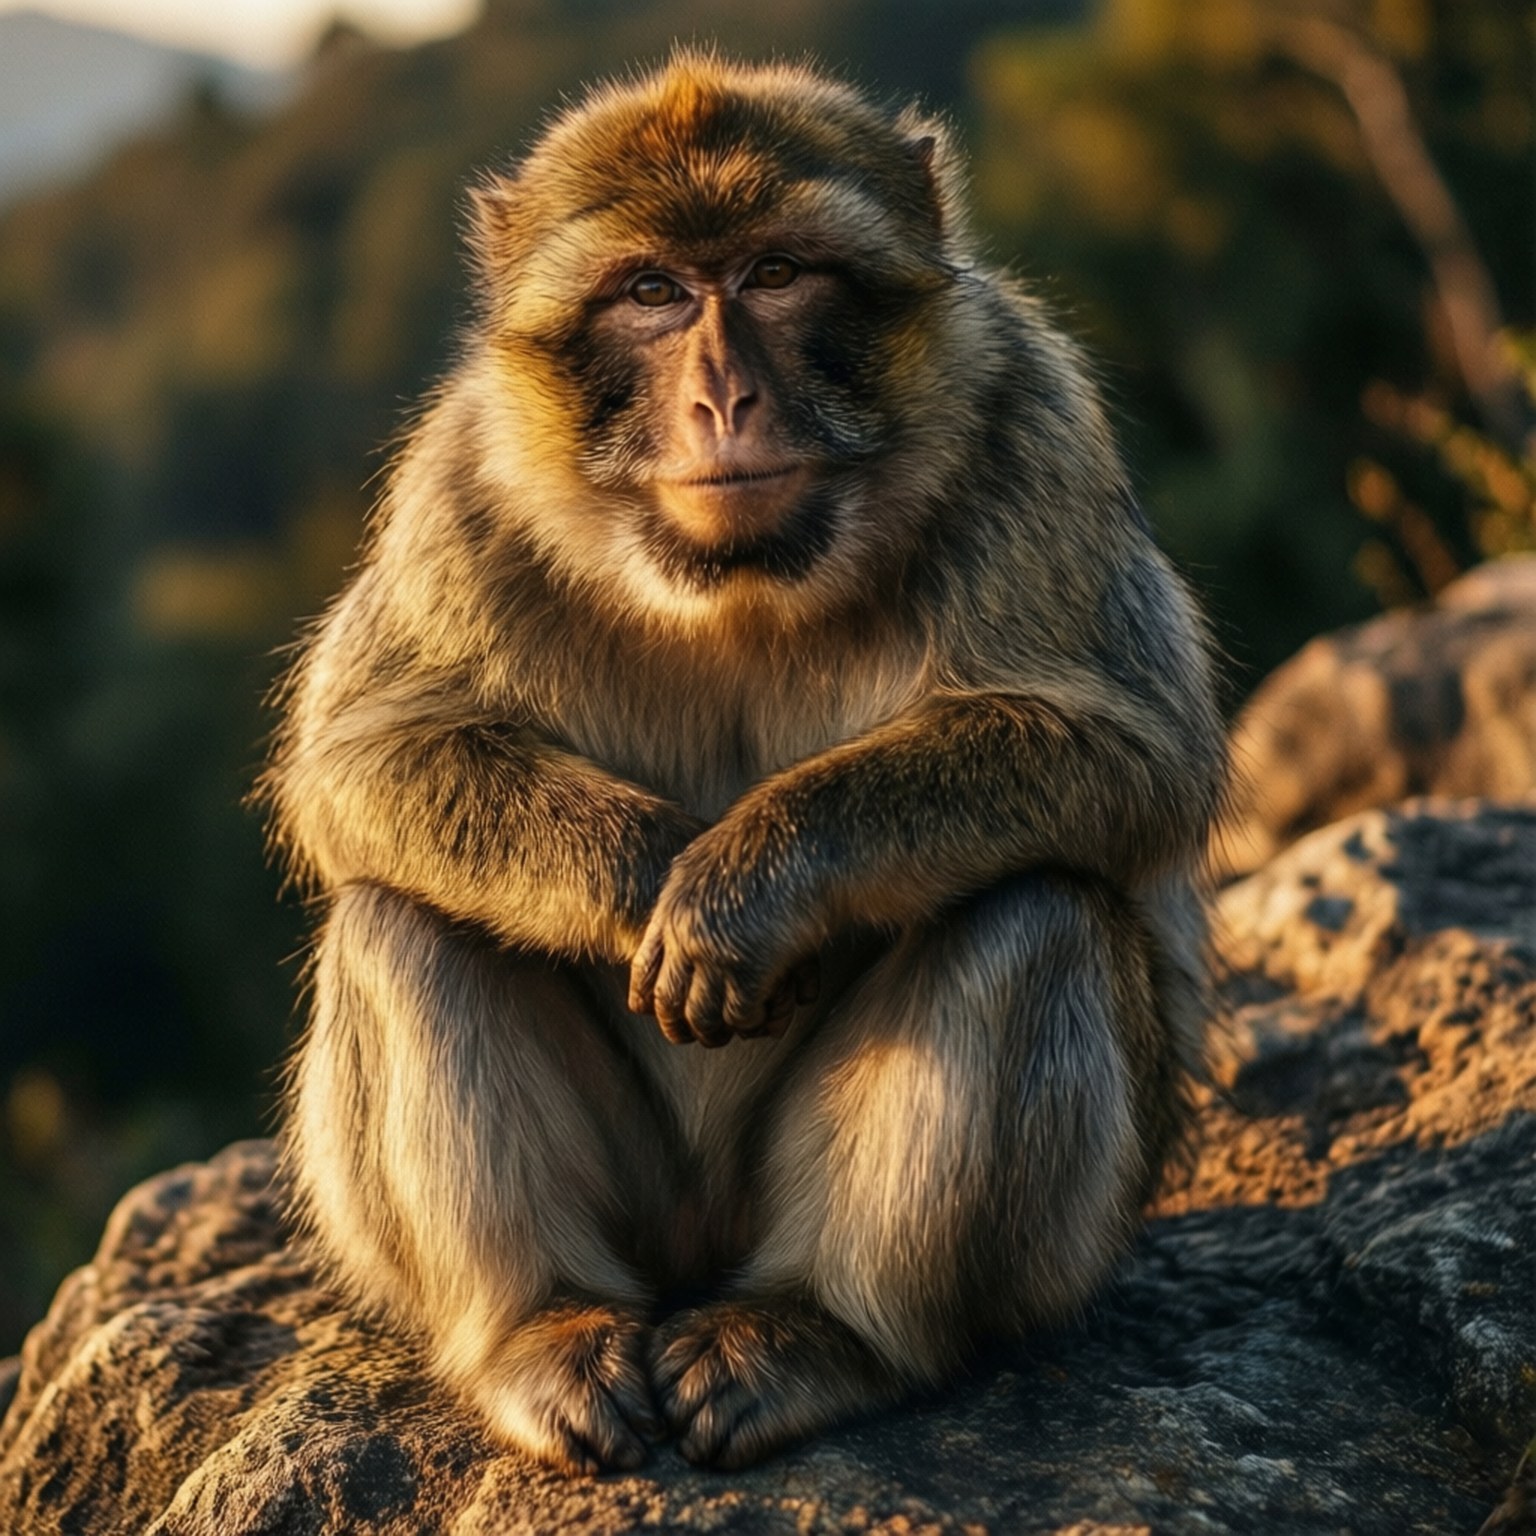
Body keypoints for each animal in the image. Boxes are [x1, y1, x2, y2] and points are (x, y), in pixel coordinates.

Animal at [260, 52, 1225, 1474]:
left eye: (776, 274)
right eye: (652, 293)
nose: (723, 398)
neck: (737, 589)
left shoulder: (1030, 423)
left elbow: (1138, 752)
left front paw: (748, 886)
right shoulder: (461, 481)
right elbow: (362, 762)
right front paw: (643, 872)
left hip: (1049, 1240)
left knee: (1031, 906)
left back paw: (823, 1332)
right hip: (642, 1219)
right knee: (404, 916)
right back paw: (543, 1329)